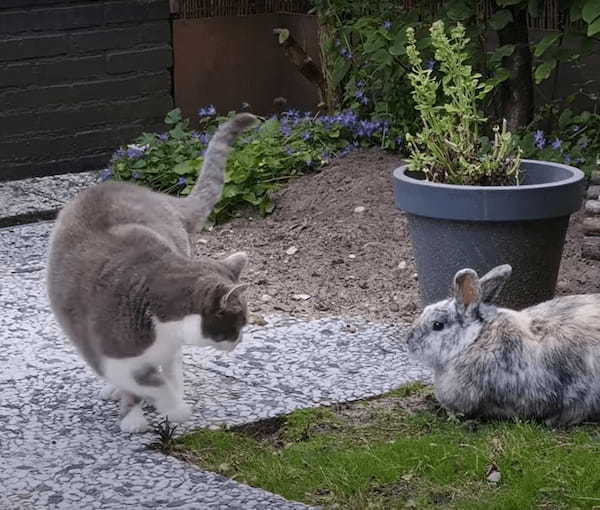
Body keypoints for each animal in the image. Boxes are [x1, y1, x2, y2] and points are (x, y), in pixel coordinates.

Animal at [47, 113, 258, 432]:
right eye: (238, 323)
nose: (239, 342)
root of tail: (157, 195)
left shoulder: (168, 350)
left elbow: (167, 375)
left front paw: (170, 405)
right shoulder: (108, 352)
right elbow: (144, 382)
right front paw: (150, 412)